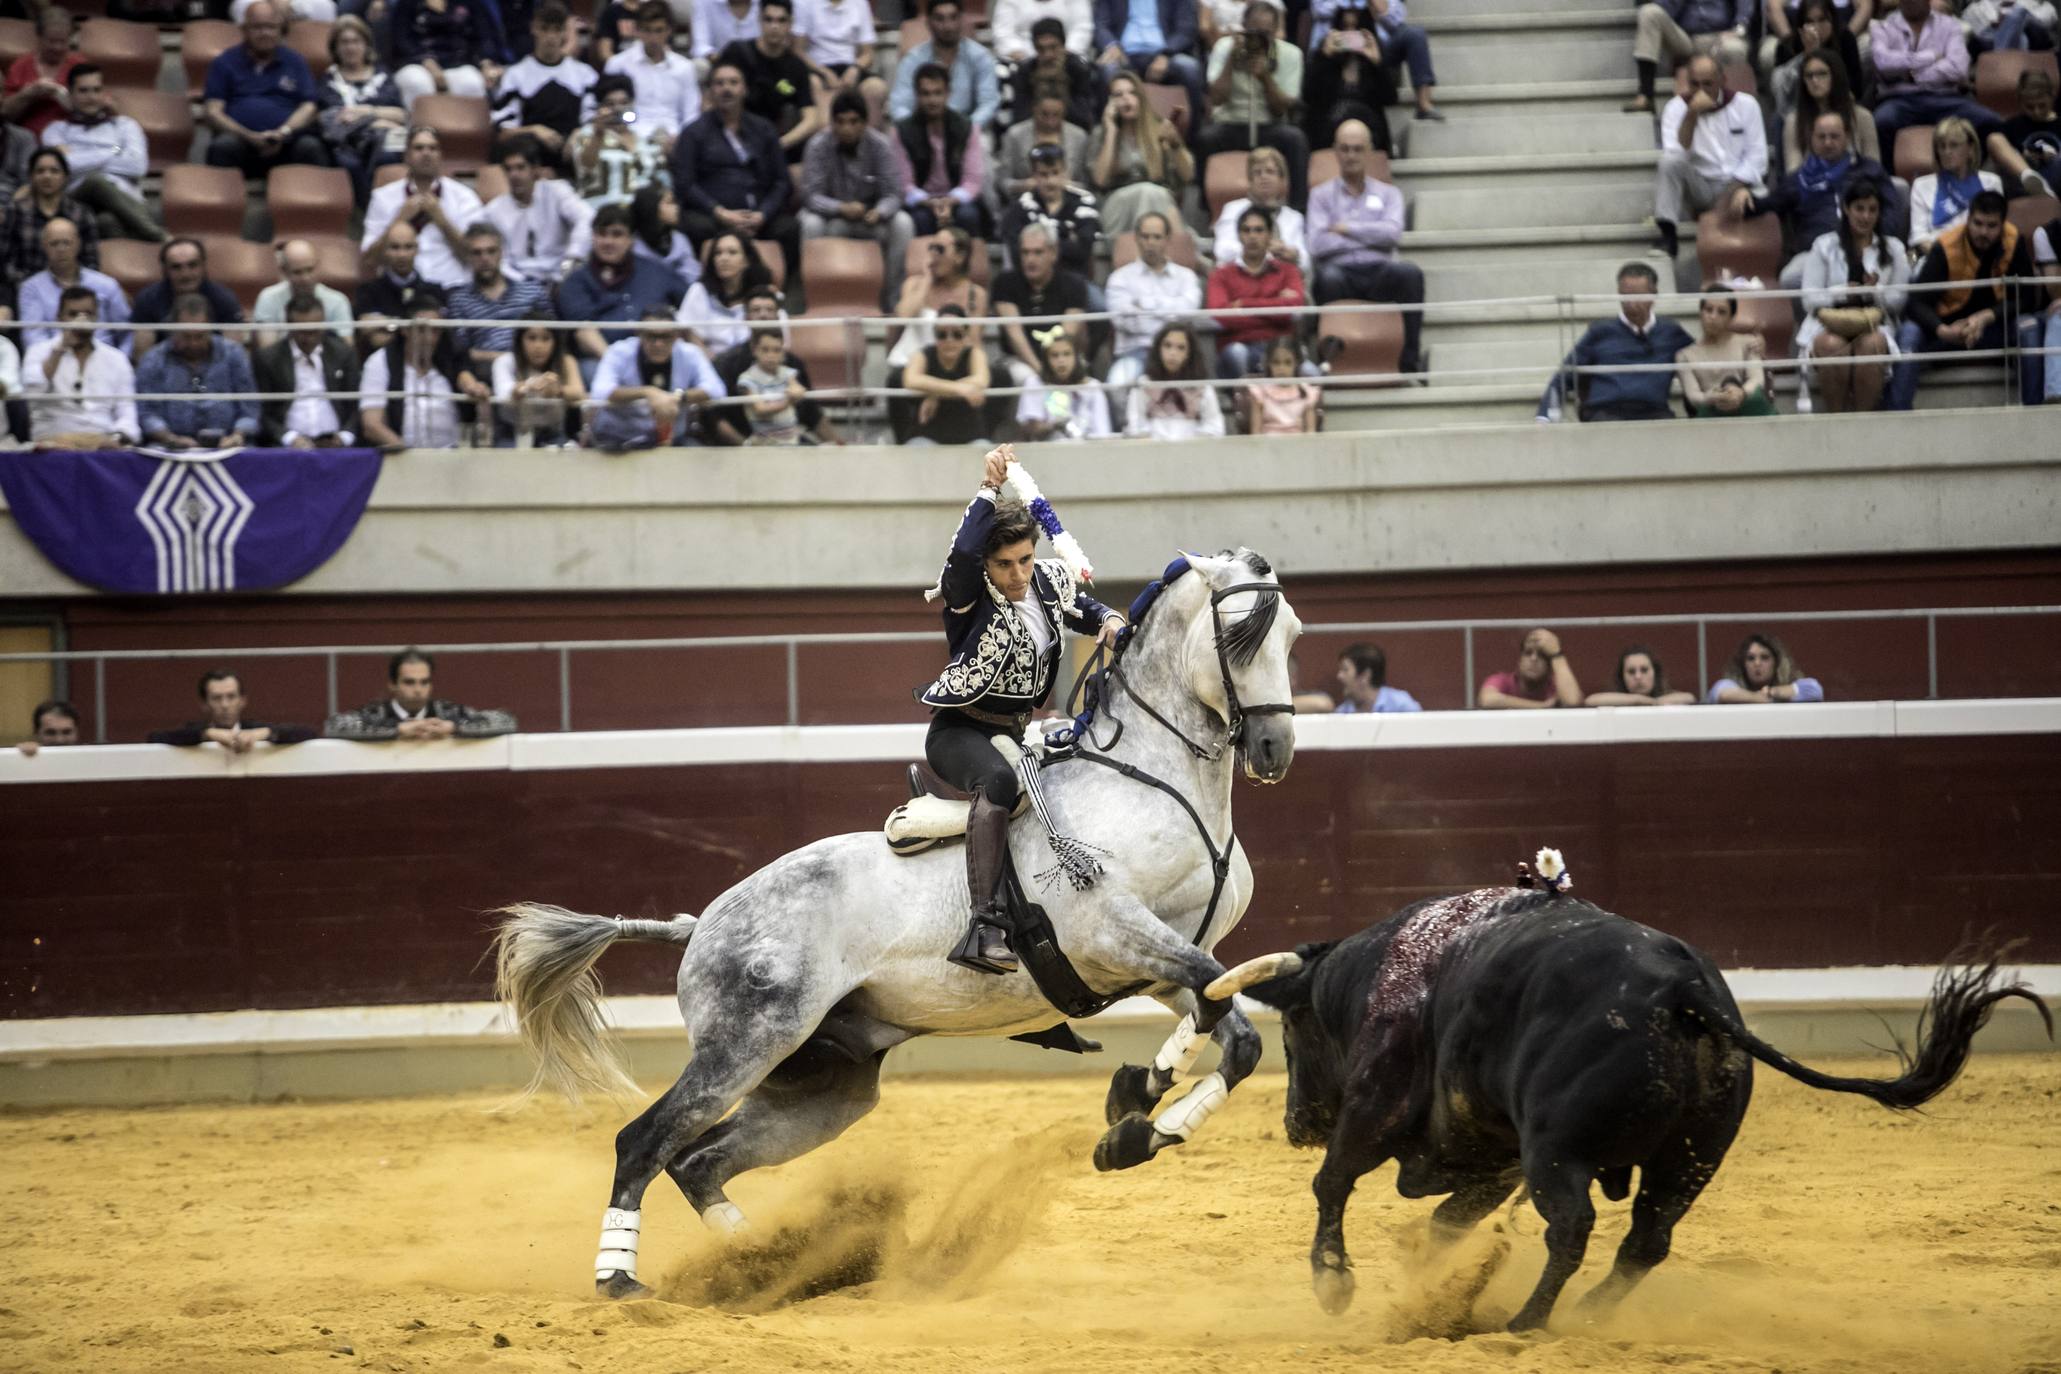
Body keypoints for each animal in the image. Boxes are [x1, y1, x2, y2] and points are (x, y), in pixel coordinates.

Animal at [492, 552, 1302, 1301]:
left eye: (1292, 634)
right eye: (1237, 637)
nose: (1274, 751)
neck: (1148, 780)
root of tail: (701, 924)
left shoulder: (1168, 959)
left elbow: (1234, 1030)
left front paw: (1138, 1117)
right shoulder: (1115, 934)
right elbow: (1222, 1009)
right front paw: (1138, 1100)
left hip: (823, 1088)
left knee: (699, 1161)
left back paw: (765, 1267)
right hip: (744, 1046)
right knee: (645, 1142)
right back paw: (622, 1280)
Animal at [1236, 894, 2044, 1334]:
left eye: (1292, 1031)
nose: (1296, 1123)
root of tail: (1685, 994)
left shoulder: (1379, 1107)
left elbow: (1333, 1183)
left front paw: (1335, 1286)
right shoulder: (1493, 1156)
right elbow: (1443, 1222)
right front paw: (1427, 1284)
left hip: (1556, 1153)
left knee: (1572, 1229)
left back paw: (1528, 1321)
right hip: (1690, 1158)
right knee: (1645, 1241)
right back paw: (1586, 1313)